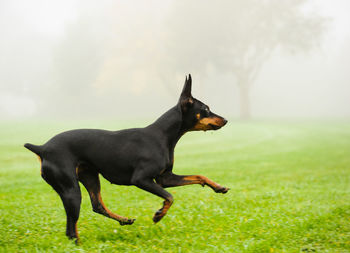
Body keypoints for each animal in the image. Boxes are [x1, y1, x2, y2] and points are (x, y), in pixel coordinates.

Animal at [23, 74, 227, 242]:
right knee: (71, 230)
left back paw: (124, 220)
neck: (163, 136)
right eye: (206, 108)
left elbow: (199, 176)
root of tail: (42, 148)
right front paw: (159, 214)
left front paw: (218, 187)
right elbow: (169, 197)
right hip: (71, 189)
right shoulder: (142, 179)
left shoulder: (165, 178)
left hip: (89, 176)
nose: (225, 119)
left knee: (97, 206)